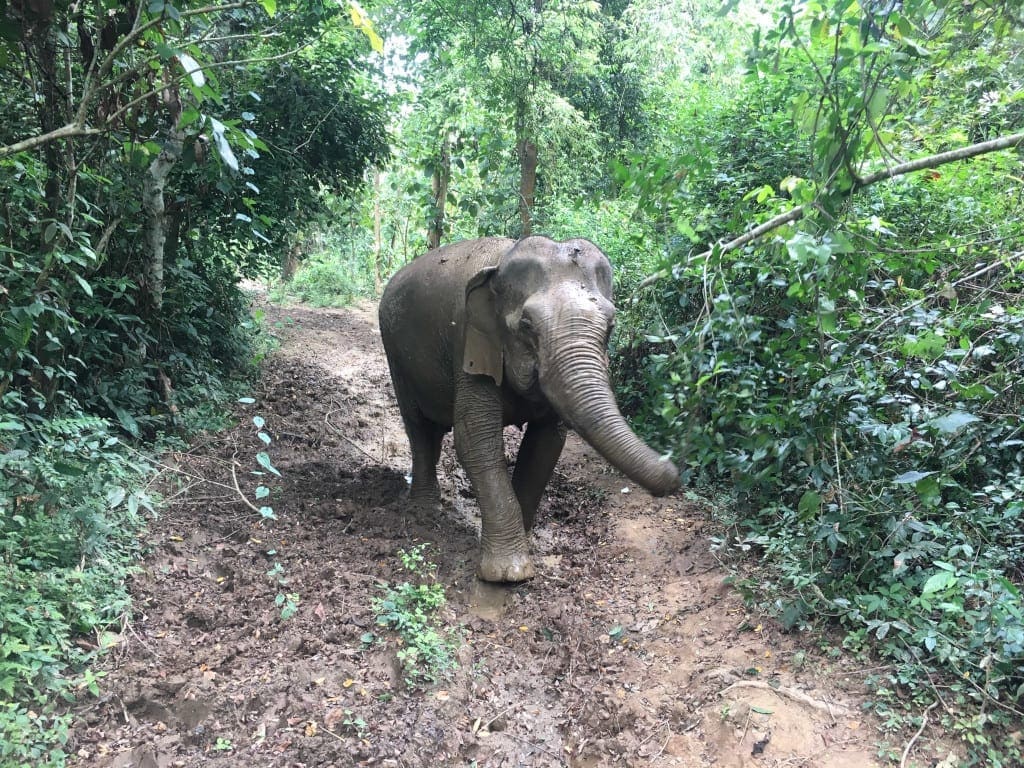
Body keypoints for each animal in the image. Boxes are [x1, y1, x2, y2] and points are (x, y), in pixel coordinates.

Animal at [376, 234, 679, 581]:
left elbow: (545, 445)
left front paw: (523, 535)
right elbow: (476, 441)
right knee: (420, 430)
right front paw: (509, 574)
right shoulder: (470, 343)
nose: (674, 475)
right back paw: (425, 511)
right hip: (396, 354)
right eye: (526, 326)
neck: (501, 263)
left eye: (611, 327)